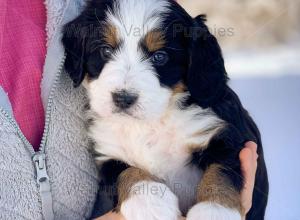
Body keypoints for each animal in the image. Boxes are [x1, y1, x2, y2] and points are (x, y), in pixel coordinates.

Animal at [62, 0, 268, 219]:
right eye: (106, 51)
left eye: (159, 57)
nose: (123, 98)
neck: (151, 122)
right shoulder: (109, 153)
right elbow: (125, 172)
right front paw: (151, 204)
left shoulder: (225, 135)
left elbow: (221, 172)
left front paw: (213, 211)